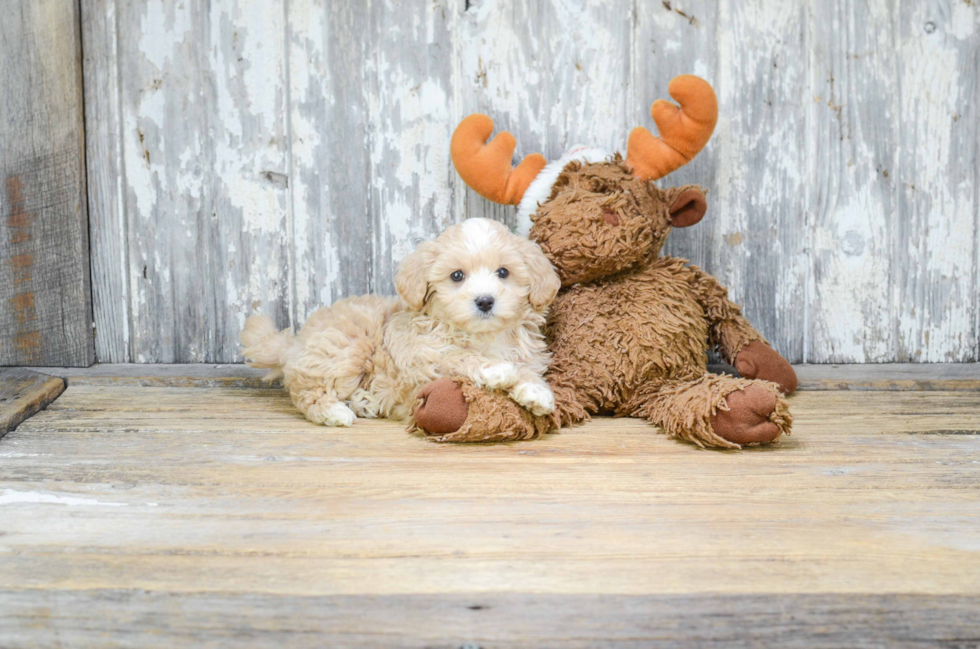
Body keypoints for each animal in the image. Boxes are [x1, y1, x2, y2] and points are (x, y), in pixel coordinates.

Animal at [239, 218, 560, 428]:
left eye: (503, 272)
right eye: (457, 276)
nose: (484, 301)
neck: (482, 335)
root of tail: (296, 344)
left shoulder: (527, 355)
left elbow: (526, 370)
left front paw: (536, 391)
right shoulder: (421, 355)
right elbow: (457, 356)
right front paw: (495, 369)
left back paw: (364, 402)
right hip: (347, 350)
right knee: (306, 390)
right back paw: (334, 412)